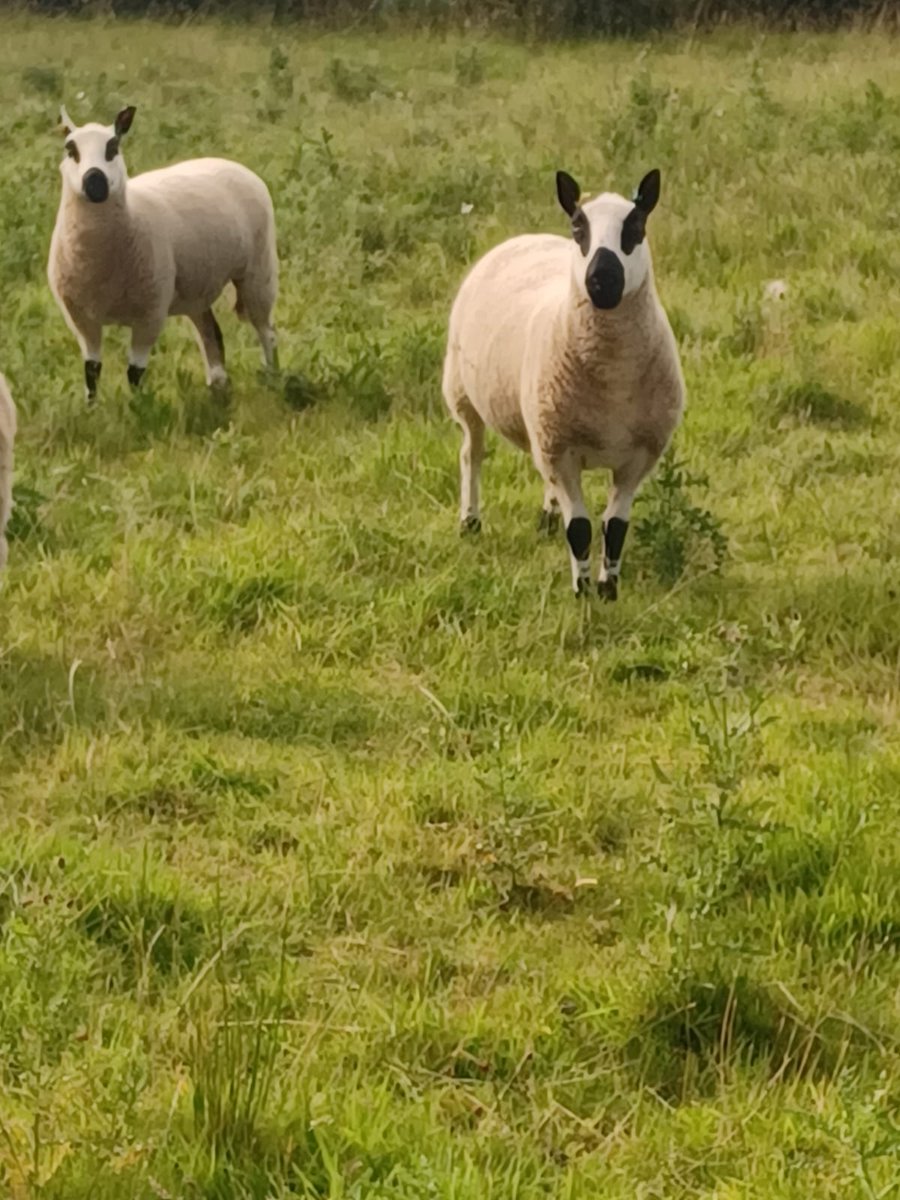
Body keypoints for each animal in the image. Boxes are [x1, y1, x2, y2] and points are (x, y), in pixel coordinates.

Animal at [48, 105, 279, 401]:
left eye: (113, 147)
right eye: (70, 149)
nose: (95, 184)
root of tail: (232, 164)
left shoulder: (150, 315)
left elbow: (134, 372)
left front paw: (138, 406)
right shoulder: (82, 319)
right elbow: (92, 370)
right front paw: (92, 407)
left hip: (258, 271)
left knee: (266, 332)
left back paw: (272, 376)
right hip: (195, 290)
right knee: (211, 333)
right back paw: (218, 385)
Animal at [442, 168, 685, 599]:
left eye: (636, 227)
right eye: (578, 228)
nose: (602, 279)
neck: (612, 381)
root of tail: (527, 236)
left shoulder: (636, 456)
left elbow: (614, 528)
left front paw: (608, 589)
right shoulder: (562, 450)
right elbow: (581, 529)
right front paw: (583, 591)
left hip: (543, 423)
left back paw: (546, 517)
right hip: (464, 395)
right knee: (472, 454)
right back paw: (470, 521)